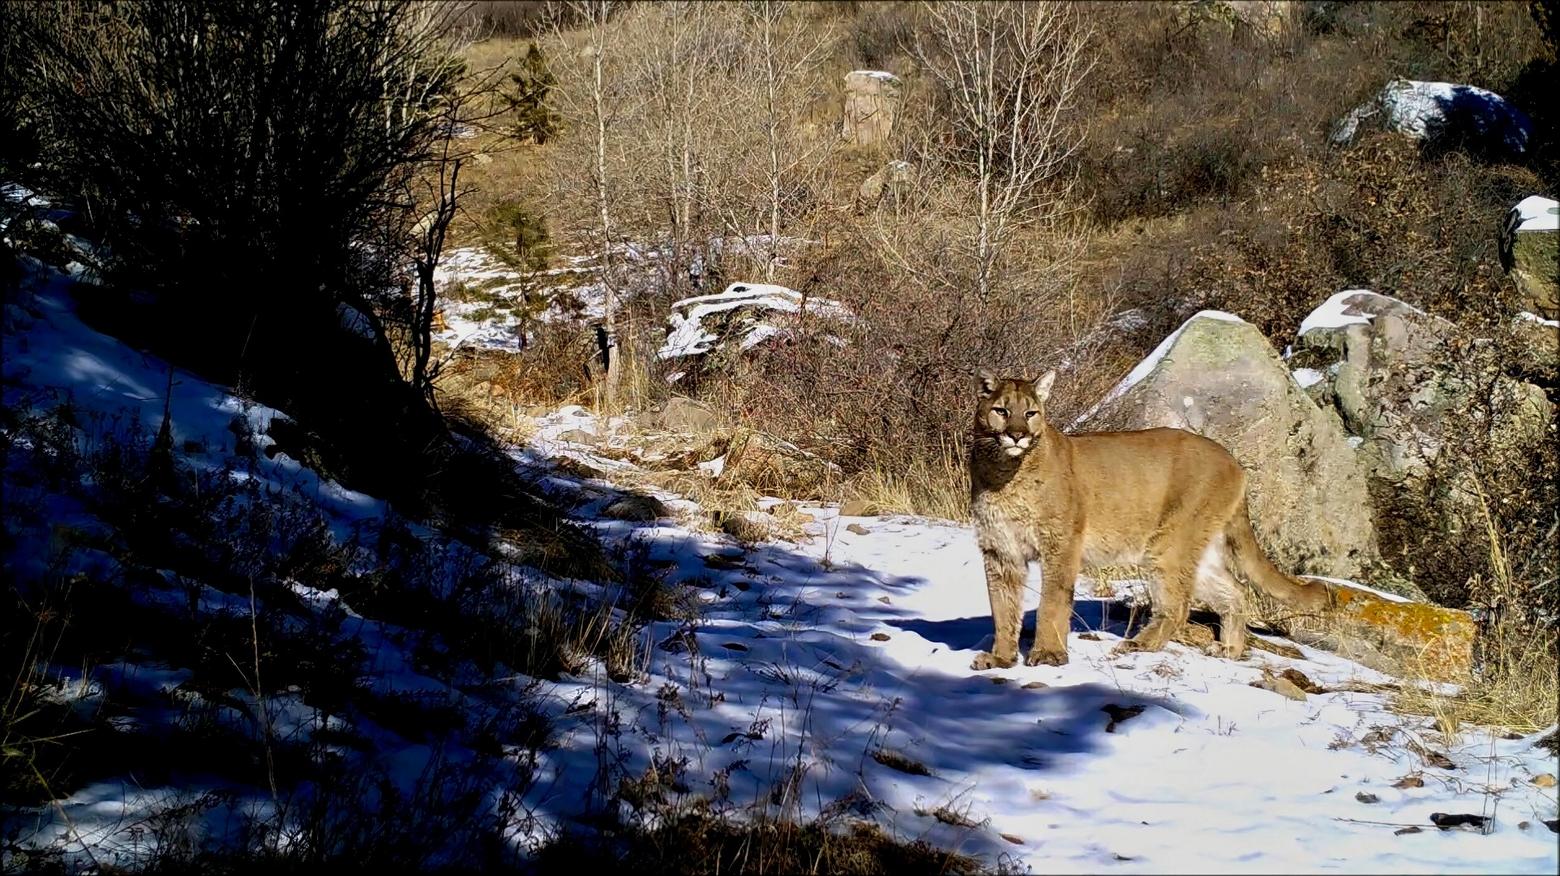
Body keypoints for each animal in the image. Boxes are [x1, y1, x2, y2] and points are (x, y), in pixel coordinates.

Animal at [973, 364, 1329, 664]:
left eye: (1030, 413)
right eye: (1001, 410)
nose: (1017, 434)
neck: (1005, 472)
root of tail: (1233, 461)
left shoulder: (1060, 546)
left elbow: (1051, 602)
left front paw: (1048, 655)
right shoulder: (1000, 551)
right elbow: (1002, 608)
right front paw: (1001, 658)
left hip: (1167, 544)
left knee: (1179, 605)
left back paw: (1138, 644)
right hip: (1197, 549)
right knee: (1235, 592)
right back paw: (1228, 649)